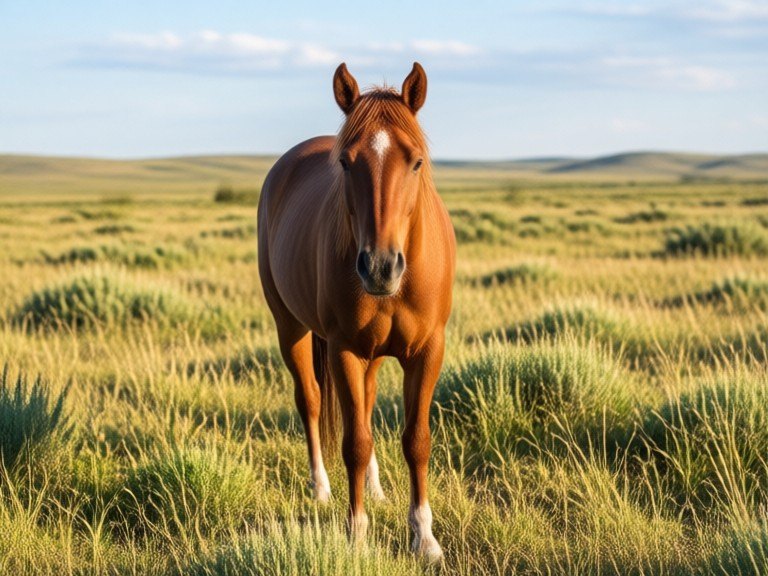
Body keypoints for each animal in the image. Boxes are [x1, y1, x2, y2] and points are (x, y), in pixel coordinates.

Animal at [257, 62, 455, 561]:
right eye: (346, 163)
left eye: (416, 161)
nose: (381, 266)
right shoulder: (344, 349)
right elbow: (355, 442)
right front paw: (357, 533)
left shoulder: (428, 350)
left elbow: (416, 440)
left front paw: (424, 538)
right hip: (291, 327)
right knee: (310, 400)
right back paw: (321, 488)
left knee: (364, 403)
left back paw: (377, 487)